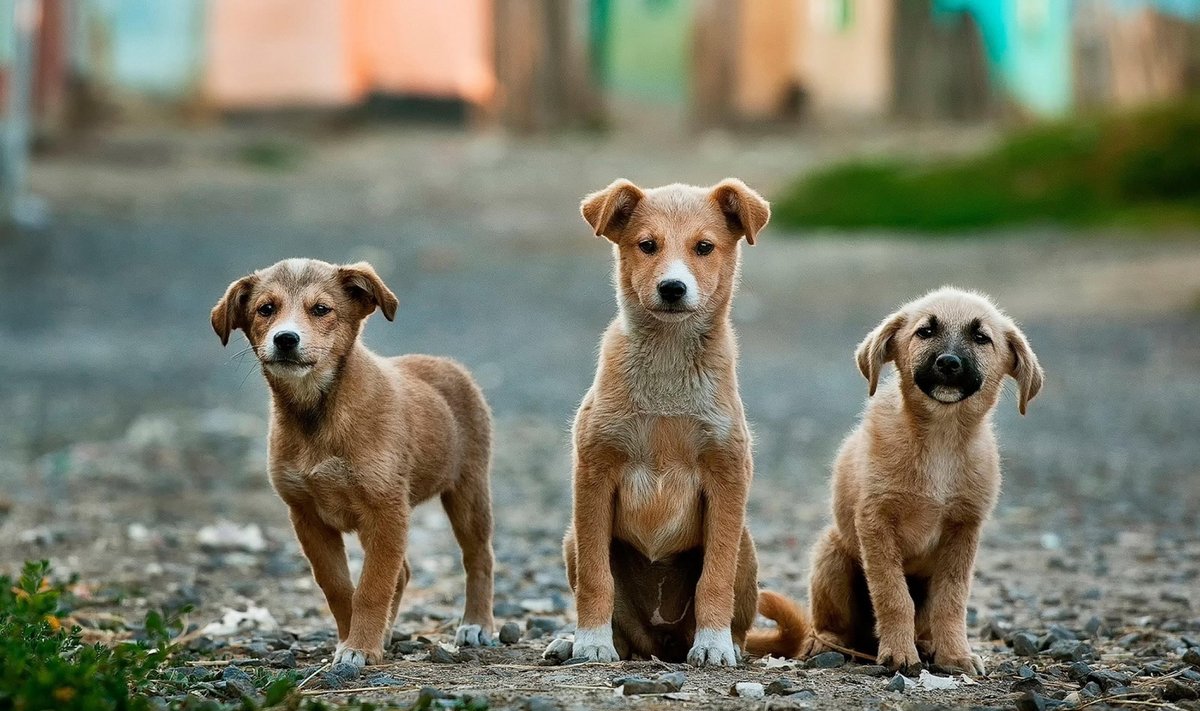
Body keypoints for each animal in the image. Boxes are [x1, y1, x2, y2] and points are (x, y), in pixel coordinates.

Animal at [211, 259, 492, 667]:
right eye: (266, 309)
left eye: (321, 309)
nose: (285, 339)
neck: (317, 414)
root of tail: (447, 364)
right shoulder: (307, 515)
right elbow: (339, 586)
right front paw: (352, 640)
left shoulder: (385, 509)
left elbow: (373, 586)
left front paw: (360, 646)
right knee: (403, 573)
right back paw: (387, 633)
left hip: (468, 491)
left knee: (478, 557)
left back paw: (477, 624)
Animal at [544, 177, 768, 667]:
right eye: (647, 245)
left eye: (704, 247)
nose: (672, 288)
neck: (667, 362)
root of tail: (661, 642)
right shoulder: (594, 472)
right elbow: (596, 577)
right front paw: (589, 641)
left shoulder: (728, 475)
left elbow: (714, 577)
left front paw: (713, 644)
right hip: (572, 538)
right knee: (619, 622)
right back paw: (575, 640)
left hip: (745, 545)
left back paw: (726, 643)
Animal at [748, 285, 1041, 672]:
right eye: (925, 331)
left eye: (981, 338)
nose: (948, 363)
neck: (940, 439)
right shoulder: (876, 522)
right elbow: (893, 595)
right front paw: (900, 653)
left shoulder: (964, 530)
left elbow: (951, 600)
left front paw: (955, 654)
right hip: (832, 553)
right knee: (829, 624)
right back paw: (827, 643)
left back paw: (927, 644)